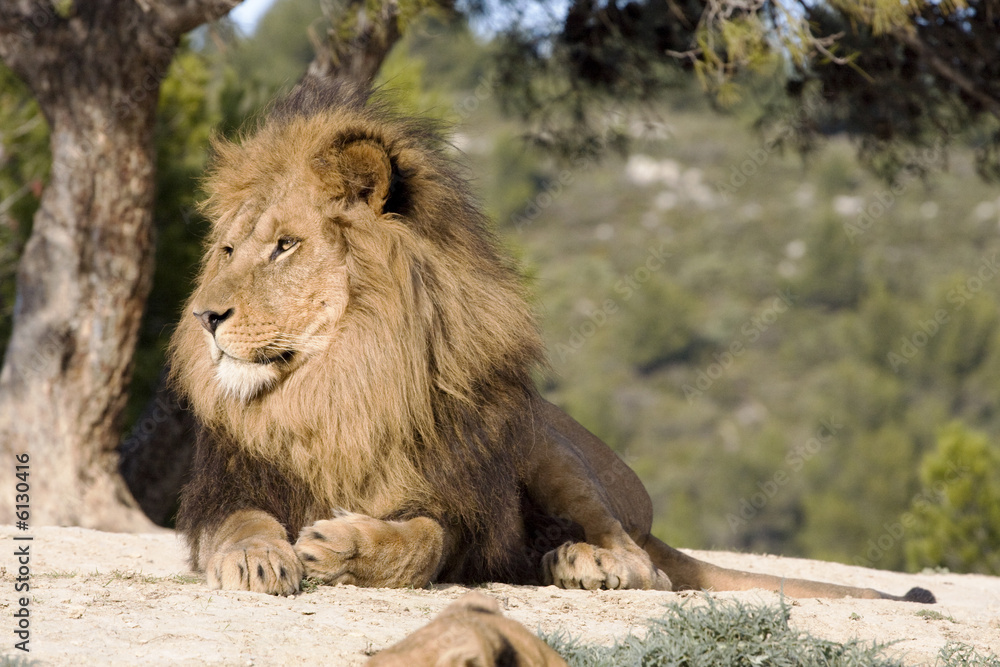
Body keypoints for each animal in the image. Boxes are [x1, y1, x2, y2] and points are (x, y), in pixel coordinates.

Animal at [169, 79, 933, 605]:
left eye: (286, 246)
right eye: (229, 248)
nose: (205, 317)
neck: (342, 385)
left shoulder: (463, 514)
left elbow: (420, 542)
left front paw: (342, 543)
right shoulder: (223, 488)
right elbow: (241, 523)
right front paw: (259, 557)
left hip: (553, 450)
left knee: (648, 567)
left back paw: (583, 562)